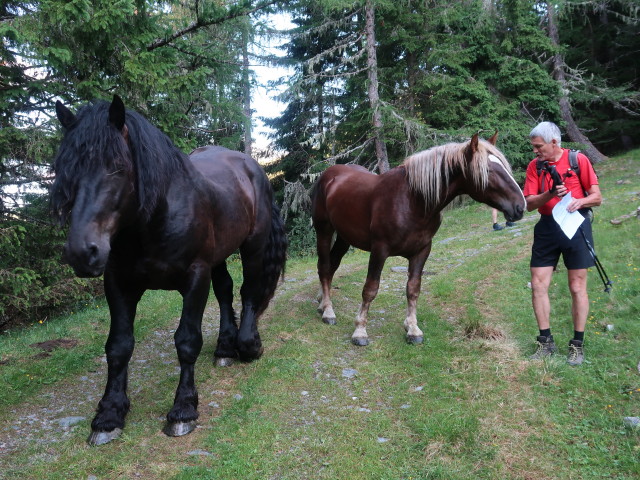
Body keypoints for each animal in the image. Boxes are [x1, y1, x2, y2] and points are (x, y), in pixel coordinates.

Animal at [52, 96, 288, 446]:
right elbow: (118, 346)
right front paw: (109, 415)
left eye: (117, 167)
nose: (82, 252)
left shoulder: (195, 277)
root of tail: (251, 165)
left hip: (252, 246)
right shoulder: (118, 283)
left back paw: (248, 344)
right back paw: (225, 347)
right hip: (219, 256)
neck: (155, 219)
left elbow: (187, 341)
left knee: (249, 292)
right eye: (66, 170)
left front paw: (183, 410)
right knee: (226, 290)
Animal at [312, 133, 524, 346]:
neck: (413, 201)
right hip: (324, 230)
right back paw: (328, 311)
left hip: (344, 236)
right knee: (324, 266)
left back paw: (322, 303)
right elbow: (370, 289)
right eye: (489, 170)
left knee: (331, 266)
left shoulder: (422, 250)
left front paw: (413, 329)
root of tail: (329, 174)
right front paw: (360, 331)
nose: (520, 206)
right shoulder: (380, 249)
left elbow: (413, 289)